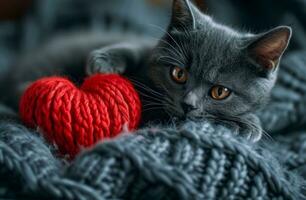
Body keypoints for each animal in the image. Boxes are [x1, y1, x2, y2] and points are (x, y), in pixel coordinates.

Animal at [4, 0, 292, 141]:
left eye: (220, 92)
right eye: (178, 74)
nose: (187, 105)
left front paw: (248, 125)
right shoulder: (145, 46)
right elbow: (137, 47)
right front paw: (103, 62)